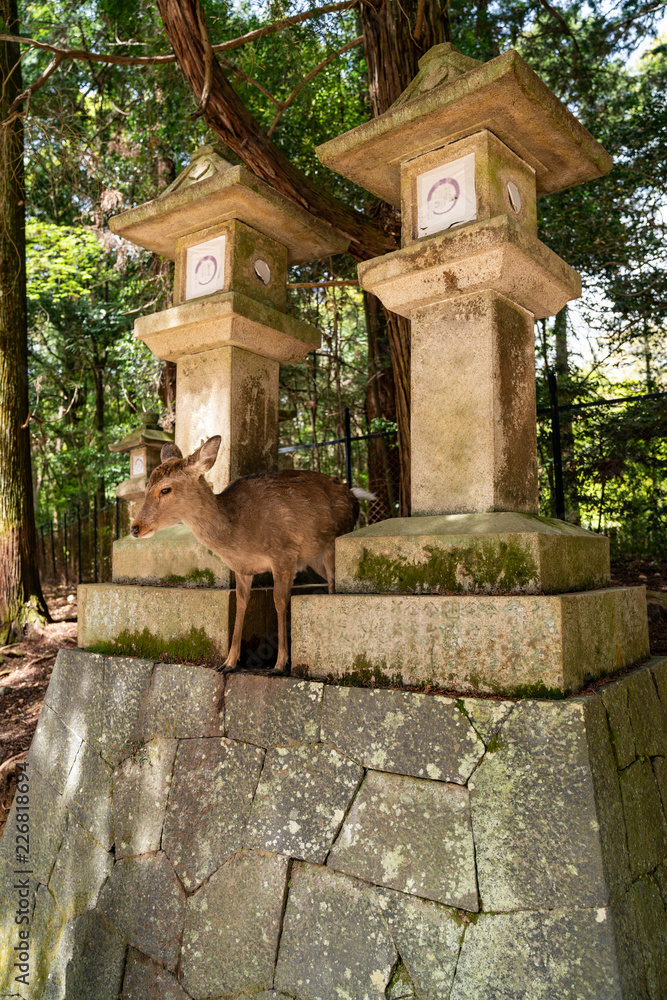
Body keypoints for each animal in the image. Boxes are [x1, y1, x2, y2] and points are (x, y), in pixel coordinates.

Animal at [128, 436, 374, 676]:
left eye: (165, 489)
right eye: (146, 487)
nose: (135, 528)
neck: (239, 534)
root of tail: (353, 495)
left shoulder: (284, 554)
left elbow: (279, 601)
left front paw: (279, 664)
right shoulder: (242, 568)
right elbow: (240, 604)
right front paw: (228, 663)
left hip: (333, 546)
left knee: (332, 583)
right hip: (314, 559)